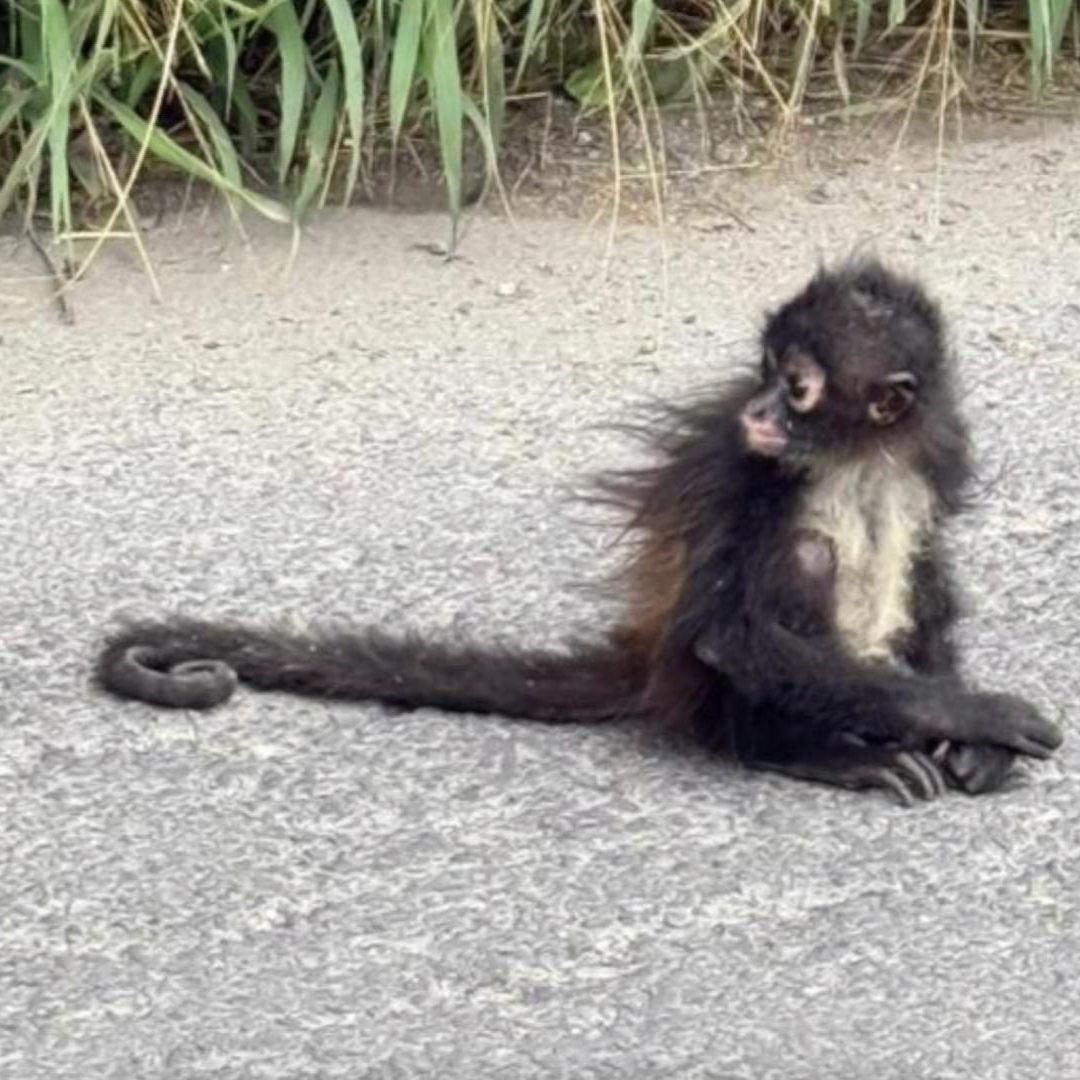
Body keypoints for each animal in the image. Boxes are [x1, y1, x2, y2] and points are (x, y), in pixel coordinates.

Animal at [96, 257, 1063, 805]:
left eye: (797, 386)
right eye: (763, 373)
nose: (758, 408)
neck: (856, 454)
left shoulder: (933, 448)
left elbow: (933, 564)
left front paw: (970, 742)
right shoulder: (742, 461)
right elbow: (735, 636)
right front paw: (979, 715)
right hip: (704, 690)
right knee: (804, 561)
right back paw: (802, 749)